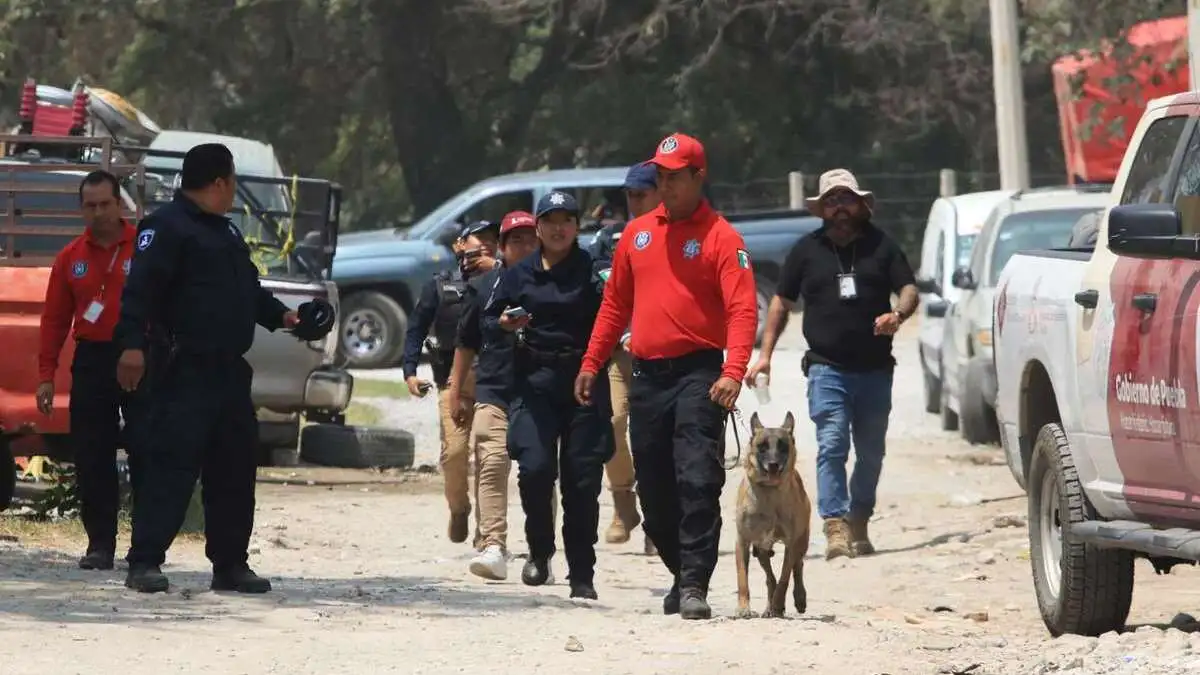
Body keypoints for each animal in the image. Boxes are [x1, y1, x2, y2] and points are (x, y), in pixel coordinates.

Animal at [729, 408, 816, 619]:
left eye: (783, 446)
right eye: (762, 447)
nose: (774, 464)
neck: (769, 492)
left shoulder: (791, 543)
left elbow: (785, 578)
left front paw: (777, 605)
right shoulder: (742, 542)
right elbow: (742, 578)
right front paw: (743, 608)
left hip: (801, 542)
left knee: (797, 567)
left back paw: (797, 598)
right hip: (761, 549)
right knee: (770, 577)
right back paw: (769, 606)